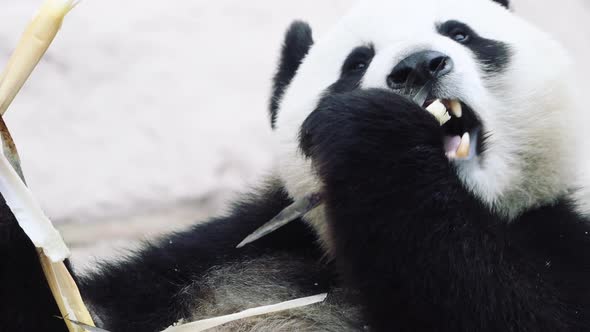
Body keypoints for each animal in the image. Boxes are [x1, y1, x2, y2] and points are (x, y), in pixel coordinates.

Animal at [1, 0, 590, 330]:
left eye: (461, 32)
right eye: (356, 62)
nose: (419, 66)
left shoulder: (559, 241)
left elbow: (517, 310)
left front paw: (373, 133)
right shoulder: (215, 251)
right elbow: (73, 312)